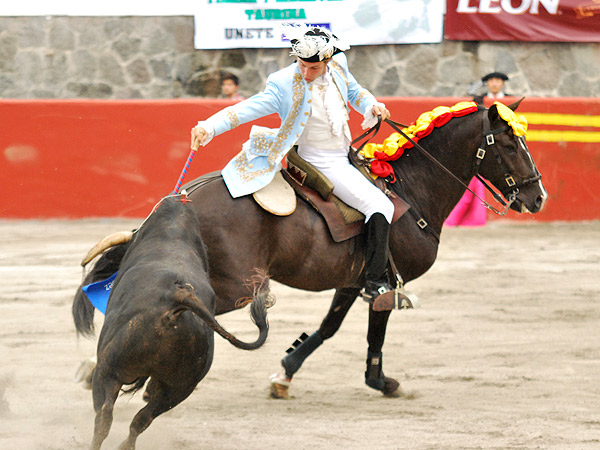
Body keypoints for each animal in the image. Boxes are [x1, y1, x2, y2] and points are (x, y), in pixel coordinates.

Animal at [72, 101, 548, 398]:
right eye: (509, 145)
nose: (538, 197)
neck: (411, 191)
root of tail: (182, 198)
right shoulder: (384, 284)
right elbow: (373, 332)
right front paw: (381, 381)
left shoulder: (355, 282)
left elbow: (328, 328)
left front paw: (285, 374)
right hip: (230, 288)